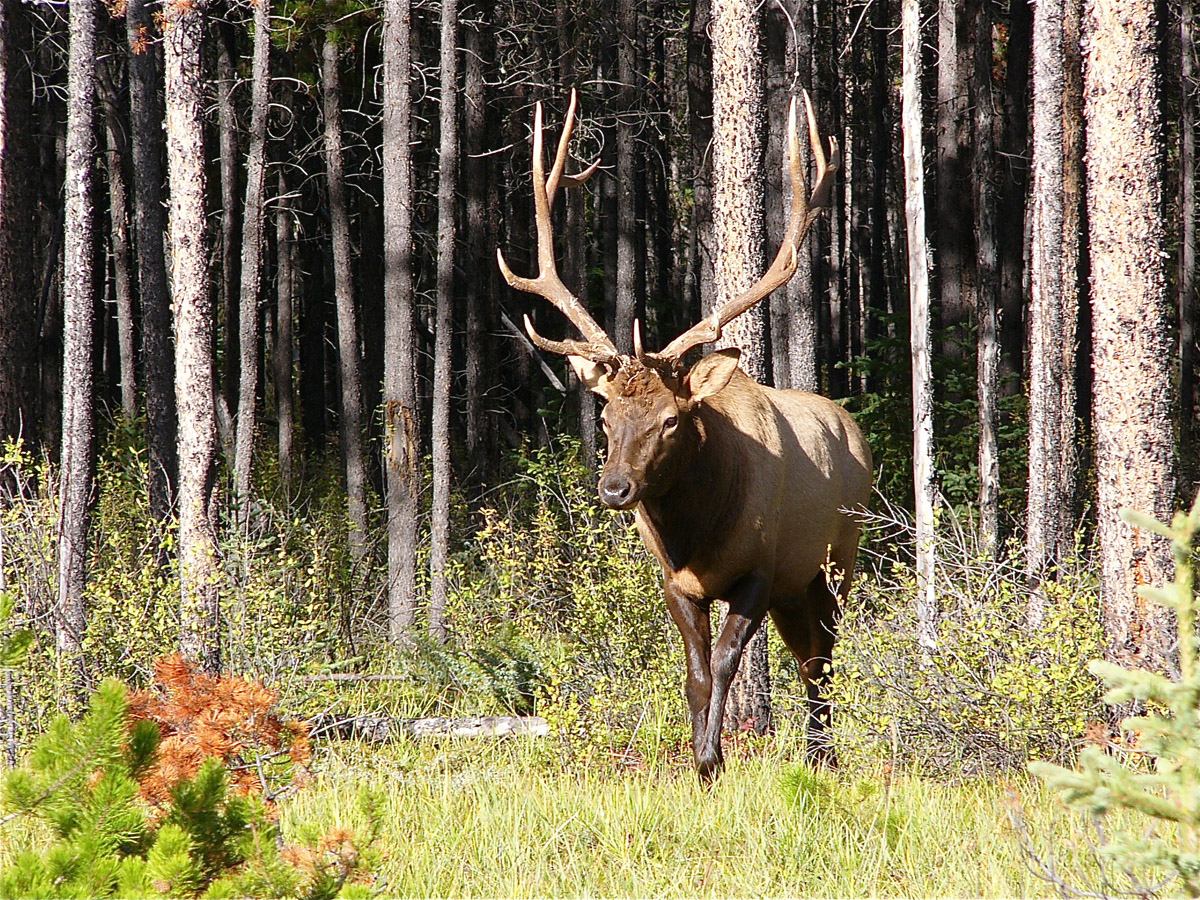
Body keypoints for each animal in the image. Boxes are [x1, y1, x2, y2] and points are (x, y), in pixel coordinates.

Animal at [496, 91, 873, 782]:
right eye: (606, 416)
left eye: (671, 418)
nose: (615, 488)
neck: (697, 535)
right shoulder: (678, 582)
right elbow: (695, 672)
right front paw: (703, 764)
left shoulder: (760, 567)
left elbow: (724, 664)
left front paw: (710, 758)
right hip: (797, 587)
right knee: (807, 655)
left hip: (837, 558)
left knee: (822, 662)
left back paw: (823, 757)